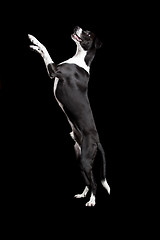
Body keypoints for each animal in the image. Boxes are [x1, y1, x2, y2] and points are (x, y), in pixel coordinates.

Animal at [27, 25, 110, 206]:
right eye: (84, 29)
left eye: (87, 33)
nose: (76, 27)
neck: (80, 59)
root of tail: (97, 141)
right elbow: (43, 51)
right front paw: (33, 45)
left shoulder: (54, 70)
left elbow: (46, 50)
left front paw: (34, 40)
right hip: (79, 159)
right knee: (89, 180)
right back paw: (83, 194)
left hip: (85, 159)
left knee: (94, 182)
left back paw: (92, 201)